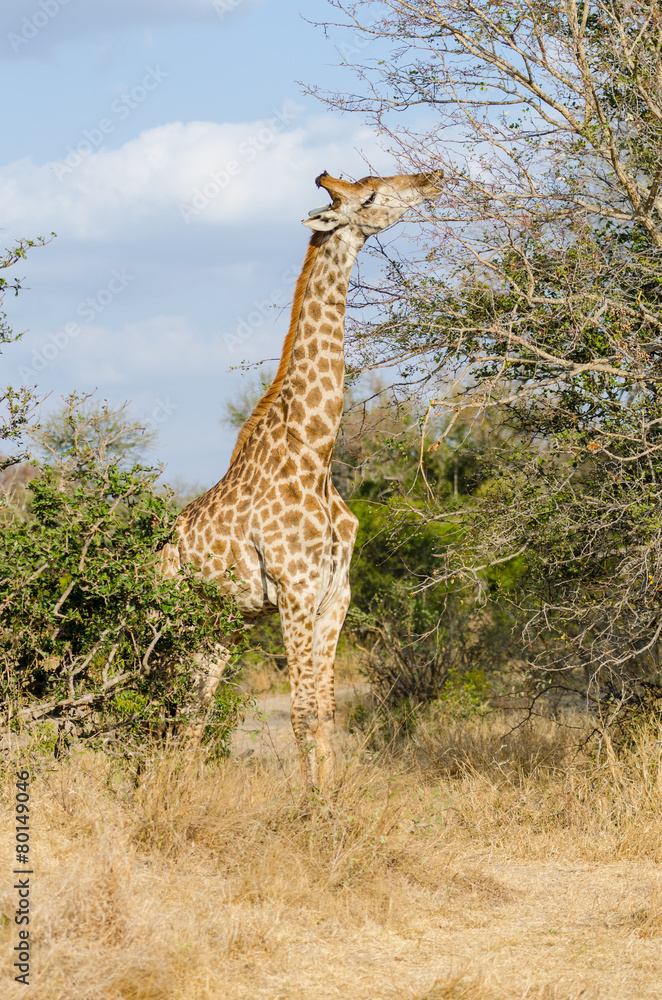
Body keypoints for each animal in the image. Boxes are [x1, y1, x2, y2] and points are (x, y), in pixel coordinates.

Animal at [161, 169, 442, 790]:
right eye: (371, 195)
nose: (431, 179)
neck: (314, 451)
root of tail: (157, 553)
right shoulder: (293, 589)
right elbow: (302, 711)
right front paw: (312, 805)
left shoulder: (335, 593)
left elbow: (328, 709)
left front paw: (331, 798)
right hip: (176, 619)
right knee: (170, 700)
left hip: (222, 625)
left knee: (194, 707)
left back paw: (182, 791)